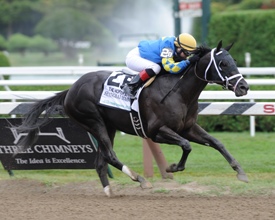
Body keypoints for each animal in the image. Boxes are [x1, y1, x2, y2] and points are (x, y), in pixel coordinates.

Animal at [14, 40, 250, 196]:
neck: (179, 92)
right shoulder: (156, 131)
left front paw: (240, 172)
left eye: (233, 61)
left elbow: (217, 142)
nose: (244, 87)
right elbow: (186, 145)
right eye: (223, 64)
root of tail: (71, 89)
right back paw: (140, 179)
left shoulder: (188, 127)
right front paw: (172, 167)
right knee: (110, 155)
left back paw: (109, 191)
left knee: (100, 161)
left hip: (107, 126)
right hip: (93, 122)